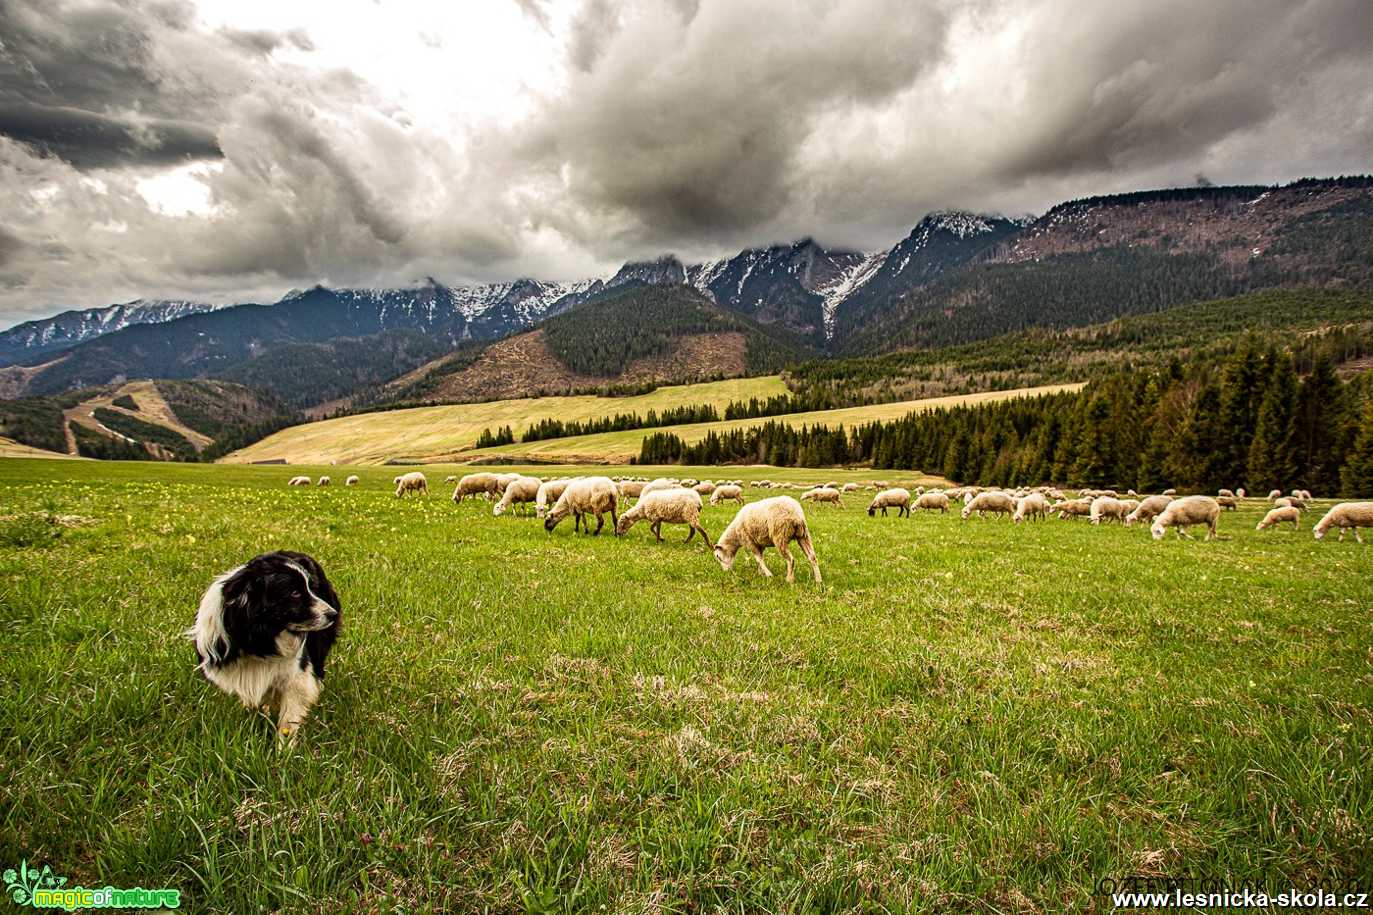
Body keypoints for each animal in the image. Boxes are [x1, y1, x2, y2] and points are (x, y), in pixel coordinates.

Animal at [189, 549, 341, 741]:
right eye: (295, 593)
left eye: (310, 588)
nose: (333, 614)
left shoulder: (295, 675)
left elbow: (287, 721)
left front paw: (284, 747)